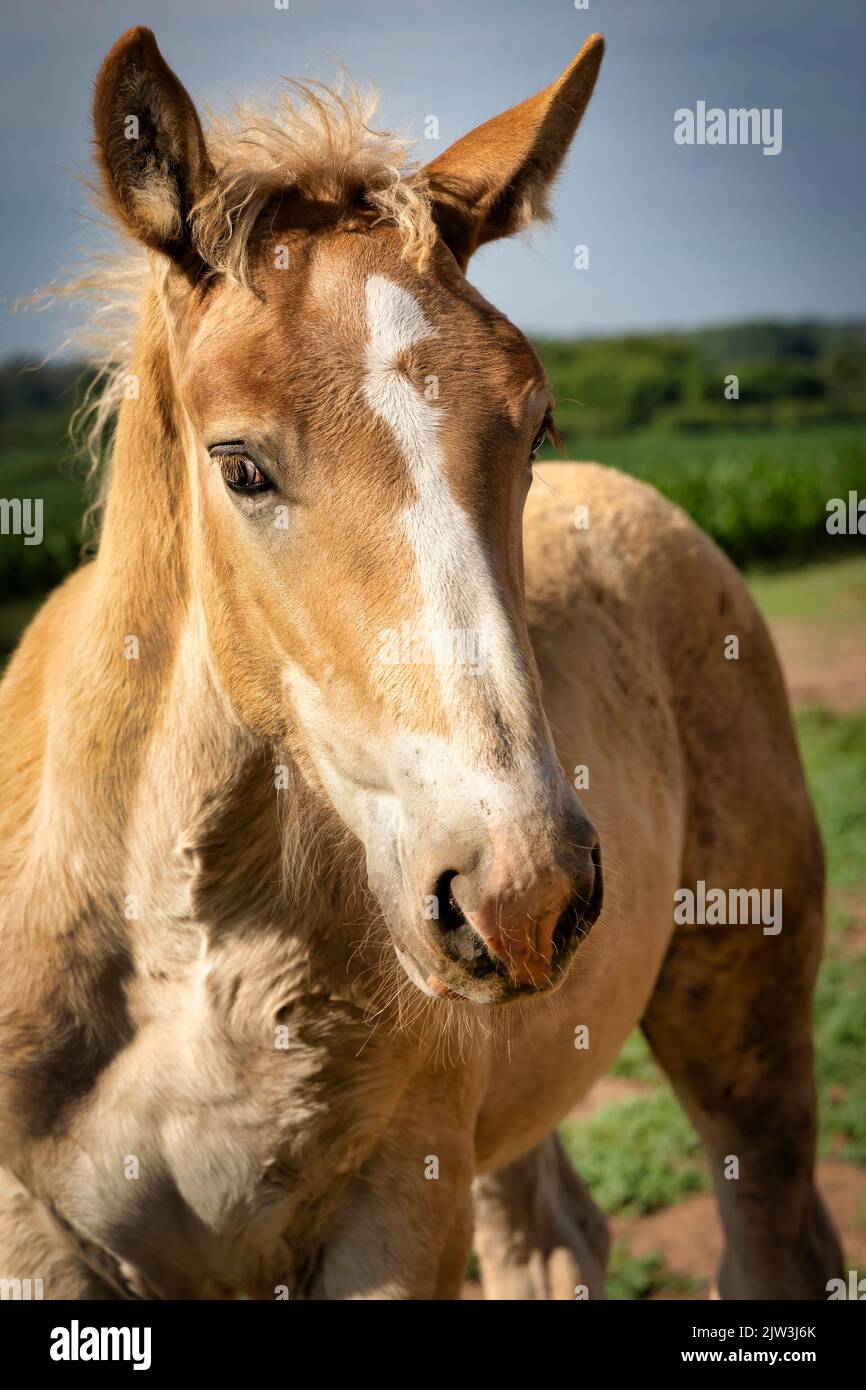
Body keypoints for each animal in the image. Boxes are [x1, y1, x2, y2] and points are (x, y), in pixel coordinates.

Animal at [0, 27, 841, 1299]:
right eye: (238, 463)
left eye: (535, 427)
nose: (519, 889)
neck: (183, 949)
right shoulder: (36, 1238)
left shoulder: (397, 1209)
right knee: (553, 1236)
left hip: (742, 1022)